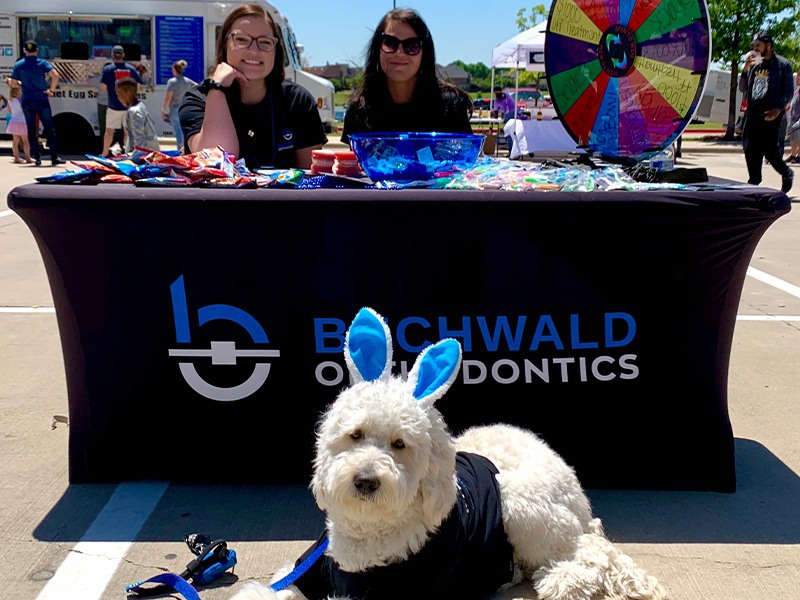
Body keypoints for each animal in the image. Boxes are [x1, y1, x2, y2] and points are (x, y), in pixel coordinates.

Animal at [233, 310, 668, 600]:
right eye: (355, 435)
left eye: (400, 444)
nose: (366, 480)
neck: (370, 537)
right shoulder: (309, 569)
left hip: (521, 503)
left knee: (592, 552)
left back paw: (563, 580)